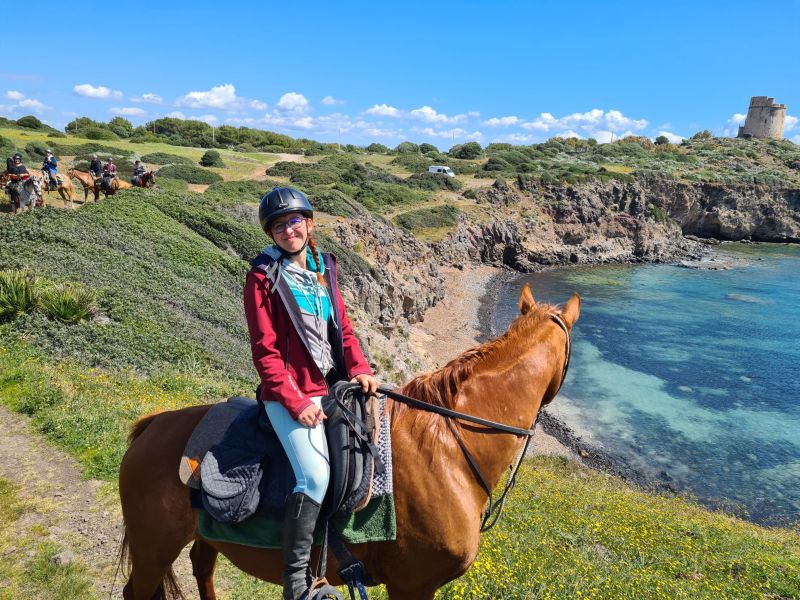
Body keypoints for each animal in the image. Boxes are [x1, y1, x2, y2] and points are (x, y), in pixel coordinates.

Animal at [119, 286, 580, 600]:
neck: (449, 451)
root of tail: (152, 426)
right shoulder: (412, 585)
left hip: (205, 537)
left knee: (203, 569)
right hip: (152, 550)